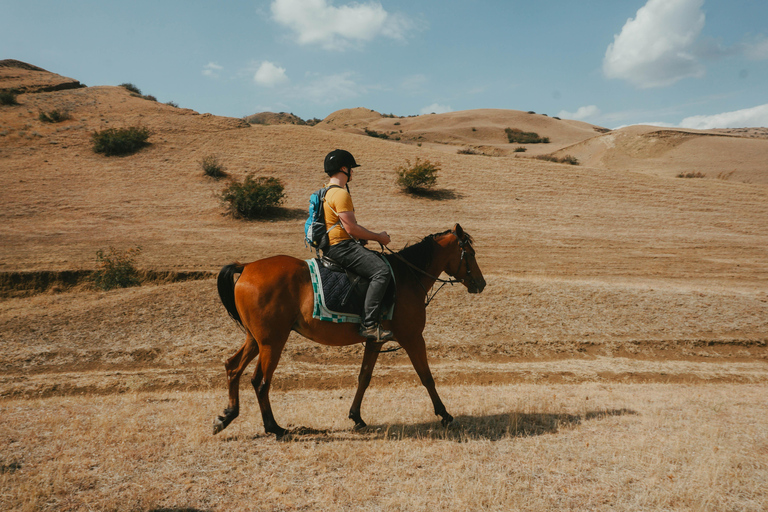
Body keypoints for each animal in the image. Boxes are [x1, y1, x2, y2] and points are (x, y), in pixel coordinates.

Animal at [210, 222, 486, 438]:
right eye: (471, 253)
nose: (481, 283)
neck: (406, 277)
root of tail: (247, 266)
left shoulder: (375, 341)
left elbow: (364, 377)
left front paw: (356, 416)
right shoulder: (413, 338)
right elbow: (426, 376)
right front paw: (444, 414)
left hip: (255, 339)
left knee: (233, 367)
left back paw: (226, 416)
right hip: (272, 342)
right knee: (260, 381)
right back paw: (273, 427)